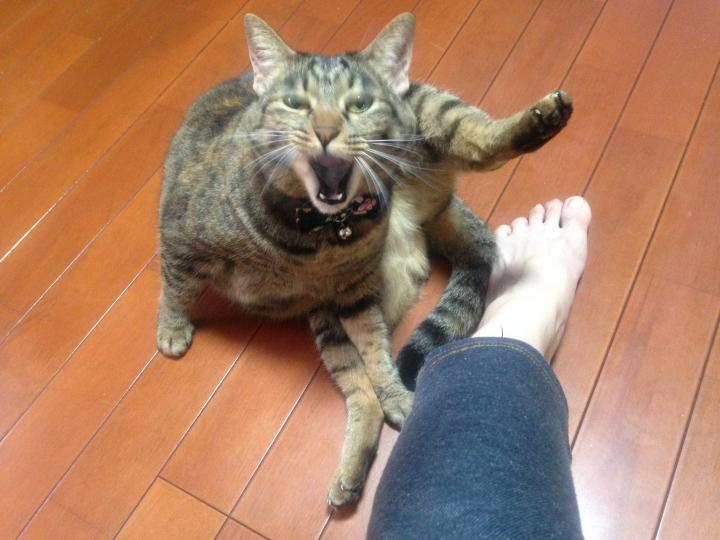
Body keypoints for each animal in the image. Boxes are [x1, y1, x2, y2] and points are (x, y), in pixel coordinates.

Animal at [156, 12, 572, 507]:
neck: (322, 229)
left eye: (359, 105)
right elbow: (176, 286)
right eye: (295, 103)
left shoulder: (354, 292)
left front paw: (397, 393)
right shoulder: (183, 238)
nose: (325, 131)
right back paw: (352, 472)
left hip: (429, 108)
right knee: (360, 391)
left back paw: (540, 119)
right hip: (326, 316)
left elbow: (377, 356)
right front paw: (172, 328)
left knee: (482, 144)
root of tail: (425, 205)